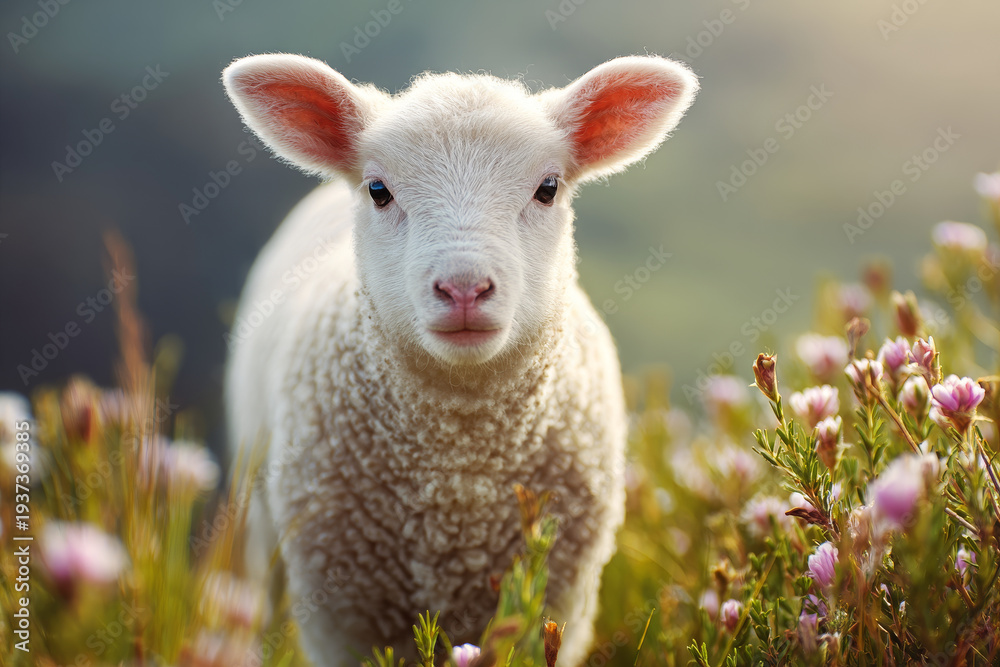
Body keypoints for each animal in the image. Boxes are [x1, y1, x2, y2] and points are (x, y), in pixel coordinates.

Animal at [222, 53, 698, 666]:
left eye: (548, 188)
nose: (464, 288)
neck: (459, 483)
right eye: (379, 189)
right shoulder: (340, 611)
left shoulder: (560, 599)